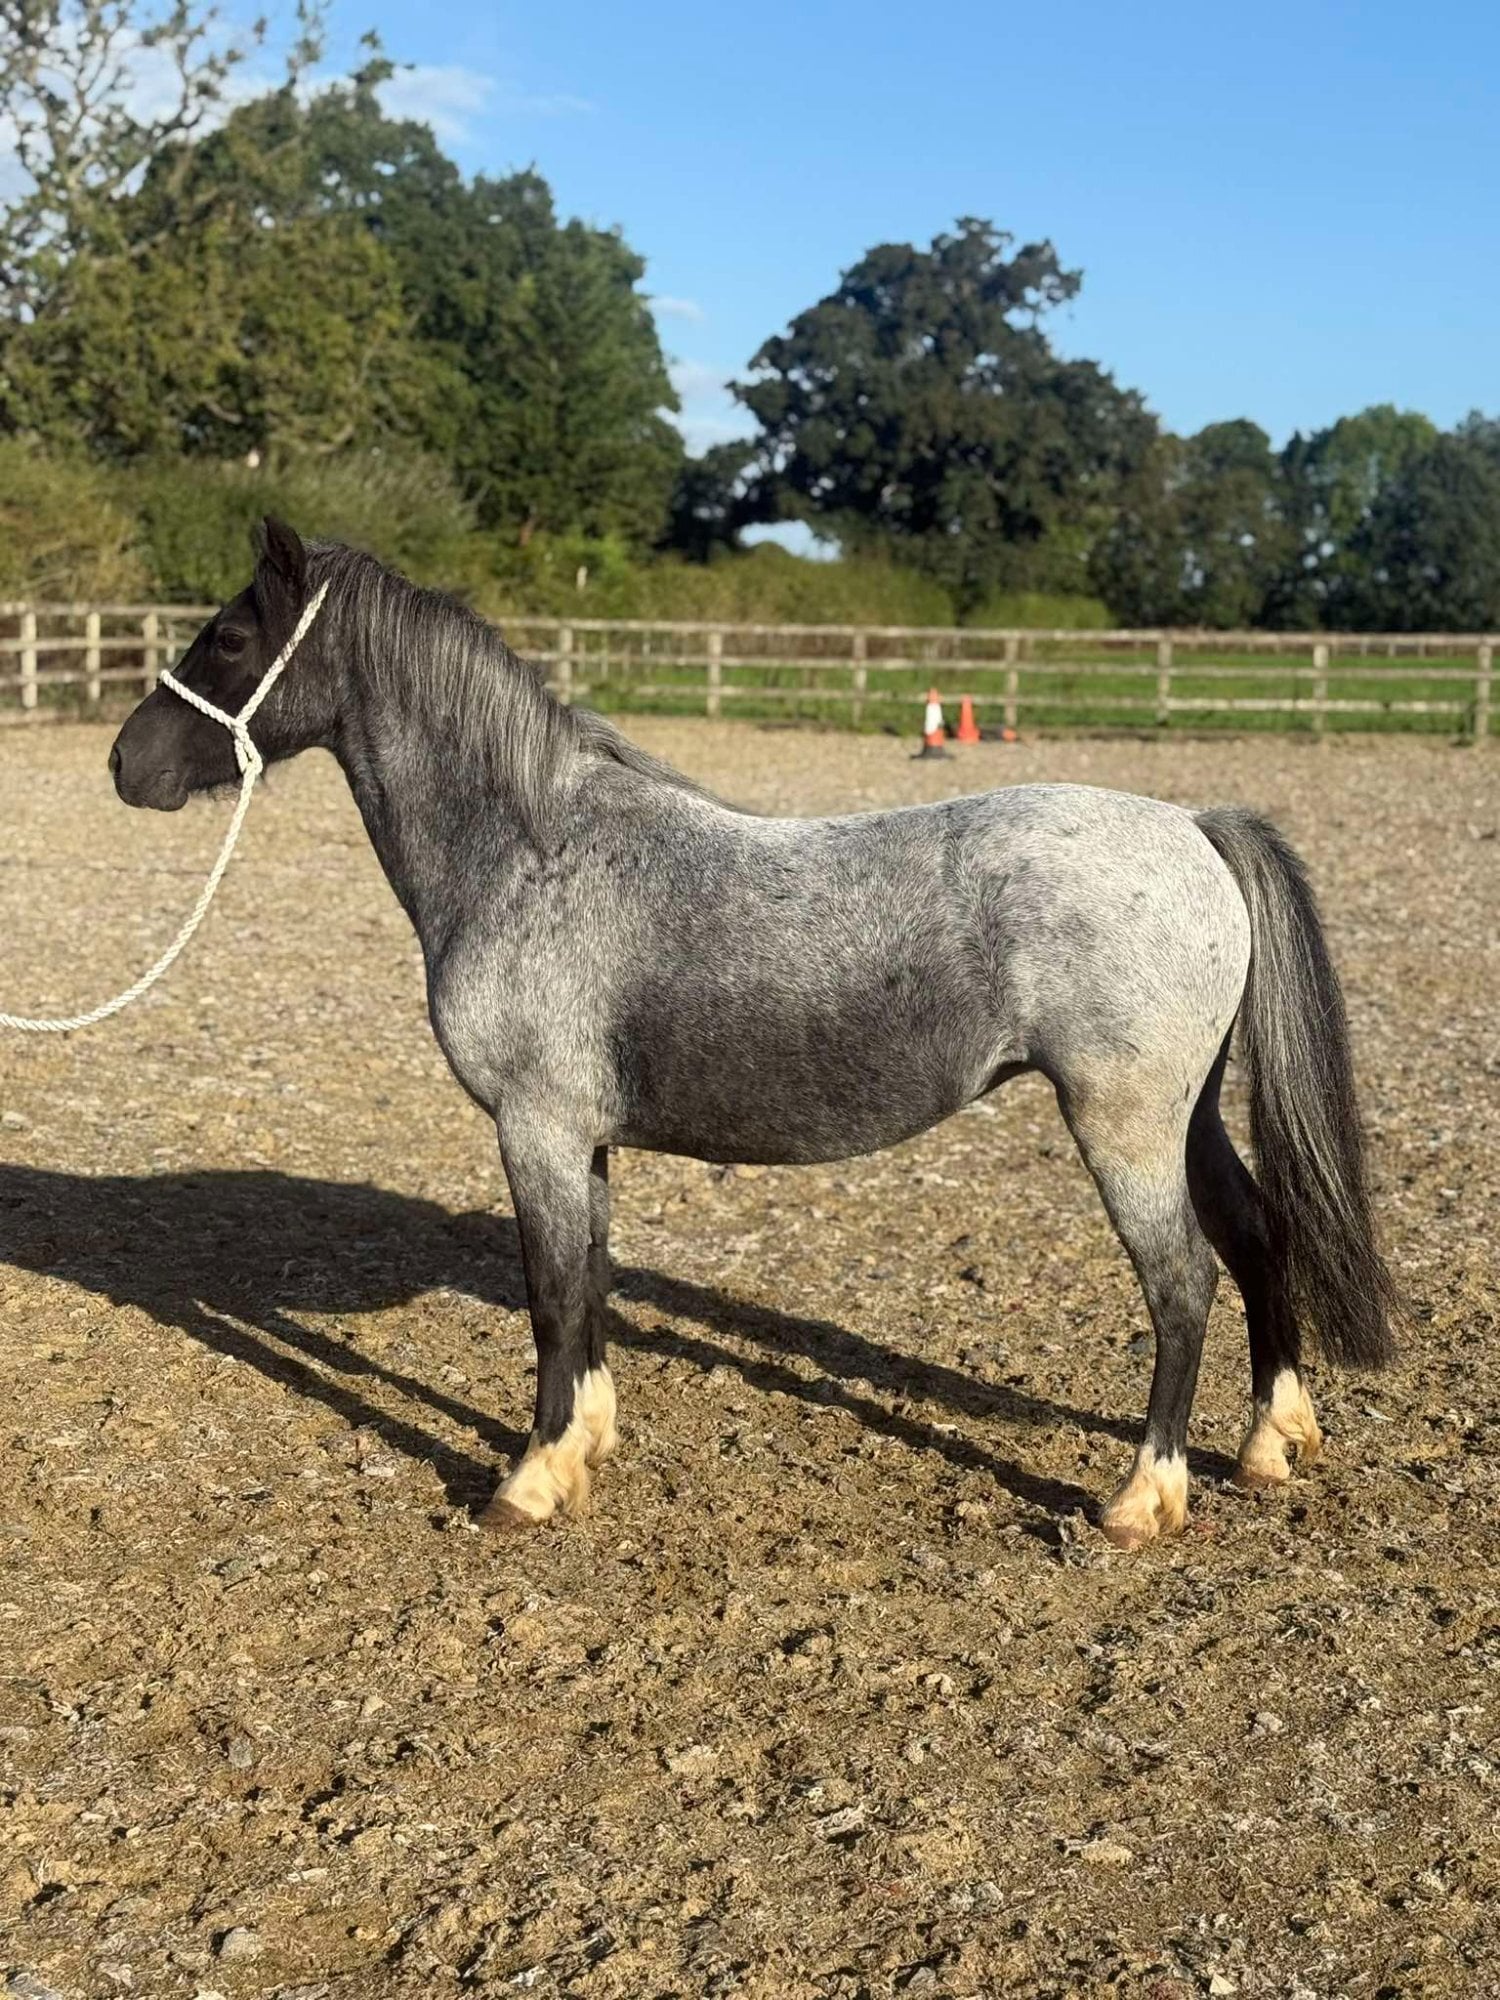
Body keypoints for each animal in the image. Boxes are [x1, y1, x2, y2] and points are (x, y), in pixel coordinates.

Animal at [108, 519, 1397, 1550]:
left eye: (229, 636)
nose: (125, 763)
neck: (532, 849)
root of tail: (1191, 825)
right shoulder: (582, 1140)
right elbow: (589, 1286)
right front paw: (587, 1446)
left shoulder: (534, 1130)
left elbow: (548, 1295)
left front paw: (529, 1480)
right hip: (1186, 1114)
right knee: (1257, 1236)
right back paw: (1271, 1442)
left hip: (1123, 1124)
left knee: (1181, 1283)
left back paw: (1143, 1497)